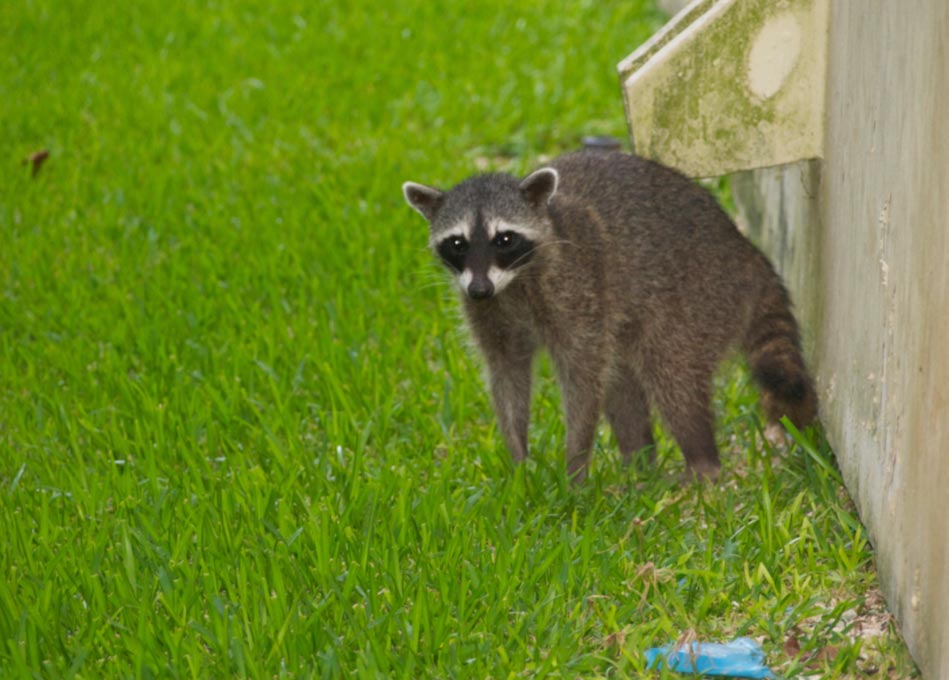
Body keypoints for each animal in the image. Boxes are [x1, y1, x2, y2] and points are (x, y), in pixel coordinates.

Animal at [403, 150, 816, 481]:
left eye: (504, 239)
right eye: (457, 243)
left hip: (698, 298)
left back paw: (702, 464)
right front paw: (519, 460)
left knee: (671, 374)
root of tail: (747, 254)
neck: (514, 282)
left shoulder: (578, 285)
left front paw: (575, 466)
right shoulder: (488, 311)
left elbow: (583, 375)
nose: (479, 289)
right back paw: (640, 465)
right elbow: (507, 373)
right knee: (623, 380)